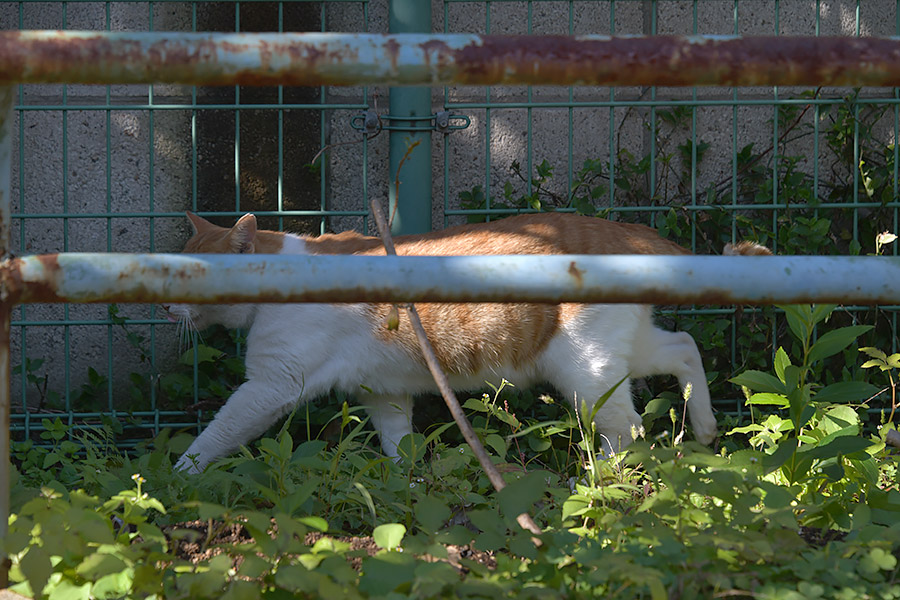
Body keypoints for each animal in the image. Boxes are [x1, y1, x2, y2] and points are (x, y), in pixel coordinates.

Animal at [167, 212, 768, 474]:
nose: (165, 306)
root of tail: (628, 231)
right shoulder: (382, 391)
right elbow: (399, 444)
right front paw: (405, 486)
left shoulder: (271, 385)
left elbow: (218, 432)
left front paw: (179, 478)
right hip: (620, 350)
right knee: (684, 347)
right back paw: (706, 428)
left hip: (586, 368)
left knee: (628, 429)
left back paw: (604, 480)